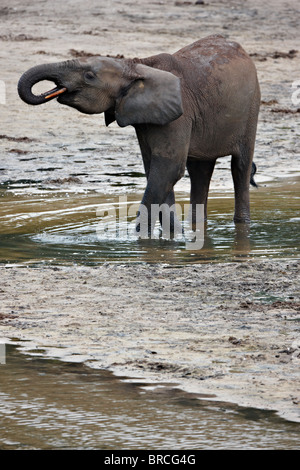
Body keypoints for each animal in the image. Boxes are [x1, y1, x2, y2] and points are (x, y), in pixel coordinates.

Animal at [17, 34, 258, 235]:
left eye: (89, 76)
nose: (49, 92)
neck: (136, 65)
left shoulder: (178, 116)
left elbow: (168, 169)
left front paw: (143, 240)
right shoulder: (145, 118)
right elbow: (155, 170)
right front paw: (172, 236)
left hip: (251, 110)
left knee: (240, 167)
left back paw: (241, 225)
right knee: (200, 171)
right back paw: (196, 227)